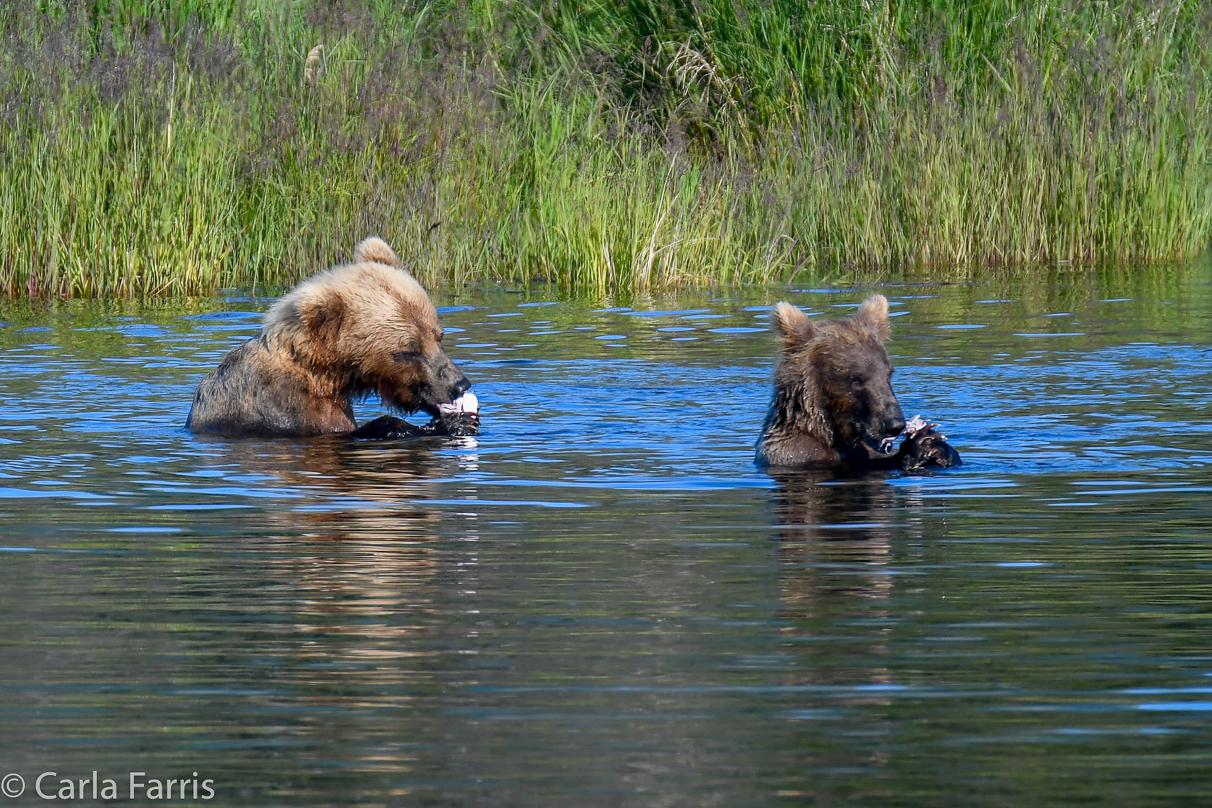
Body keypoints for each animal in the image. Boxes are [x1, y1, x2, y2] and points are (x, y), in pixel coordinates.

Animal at [187, 237, 472, 438]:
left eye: (438, 336)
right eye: (409, 350)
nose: (459, 384)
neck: (325, 375)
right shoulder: (284, 409)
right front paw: (452, 422)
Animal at [751, 295, 959, 474]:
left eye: (888, 374)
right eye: (856, 378)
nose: (894, 424)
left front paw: (942, 447)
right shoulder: (798, 454)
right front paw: (920, 444)